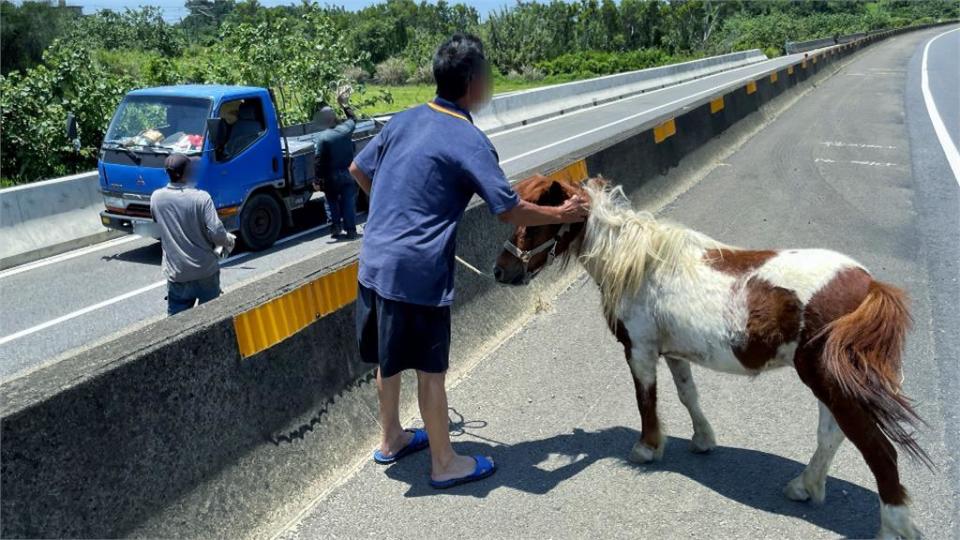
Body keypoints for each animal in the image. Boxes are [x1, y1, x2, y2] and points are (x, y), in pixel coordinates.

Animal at [496, 176, 928, 540]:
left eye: (531, 223)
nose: (501, 272)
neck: (639, 263)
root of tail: (869, 284)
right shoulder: (673, 352)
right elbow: (688, 395)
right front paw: (702, 440)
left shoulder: (640, 351)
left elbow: (646, 401)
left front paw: (648, 448)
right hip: (828, 383)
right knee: (832, 435)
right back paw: (804, 486)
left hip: (827, 381)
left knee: (877, 450)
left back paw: (893, 525)